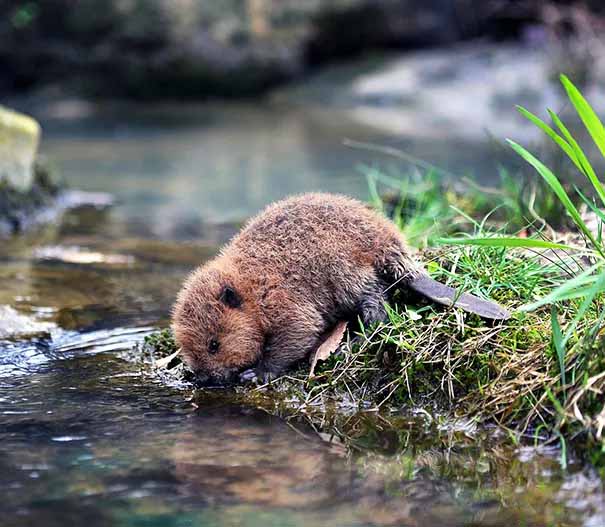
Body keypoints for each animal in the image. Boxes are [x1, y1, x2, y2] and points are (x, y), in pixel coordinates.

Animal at [172, 192, 508, 386]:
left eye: (214, 344)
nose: (203, 379)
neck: (251, 284)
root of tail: (395, 249)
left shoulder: (282, 299)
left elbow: (300, 331)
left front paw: (256, 373)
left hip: (345, 272)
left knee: (376, 304)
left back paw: (355, 341)